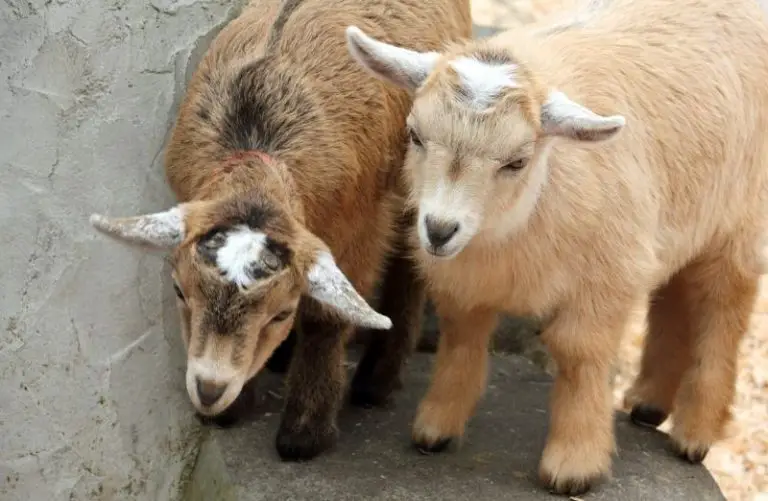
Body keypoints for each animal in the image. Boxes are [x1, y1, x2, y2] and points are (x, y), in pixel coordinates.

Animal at [90, 0, 471, 460]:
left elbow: (329, 317)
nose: (210, 389)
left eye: (282, 313)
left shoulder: (359, 224)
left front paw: (305, 431)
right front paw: (234, 407)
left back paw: (376, 382)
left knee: (411, 262)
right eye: (179, 291)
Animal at [346, 0, 768, 493]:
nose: (439, 229)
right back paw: (648, 404)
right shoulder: (465, 282)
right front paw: (437, 427)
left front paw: (574, 464)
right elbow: (462, 337)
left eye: (517, 162)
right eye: (414, 135)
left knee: (723, 312)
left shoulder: (608, 276)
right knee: (675, 296)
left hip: (738, 223)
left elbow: (578, 354)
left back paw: (695, 433)